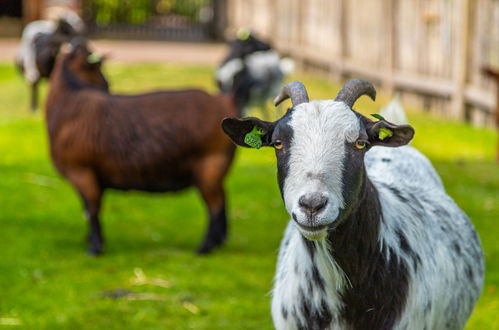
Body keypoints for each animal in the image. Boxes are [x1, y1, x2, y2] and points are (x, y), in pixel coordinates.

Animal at [45, 42, 252, 255]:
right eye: (95, 66)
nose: (107, 85)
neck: (69, 101)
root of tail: (227, 100)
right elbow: (87, 208)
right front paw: (89, 241)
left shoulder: (82, 171)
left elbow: (93, 209)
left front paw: (95, 248)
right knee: (223, 199)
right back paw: (220, 241)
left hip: (210, 164)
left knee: (215, 205)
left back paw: (205, 247)